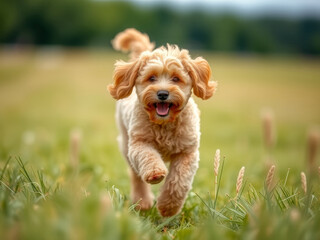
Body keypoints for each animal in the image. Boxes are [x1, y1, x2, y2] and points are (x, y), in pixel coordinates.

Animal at [108, 28, 218, 218]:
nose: (162, 94)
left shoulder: (187, 152)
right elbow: (148, 157)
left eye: (176, 78)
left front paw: (168, 208)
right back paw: (143, 202)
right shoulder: (139, 143)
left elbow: (178, 181)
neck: (164, 124)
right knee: (136, 176)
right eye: (151, 78)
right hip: (125, 143)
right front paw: (155, 174)